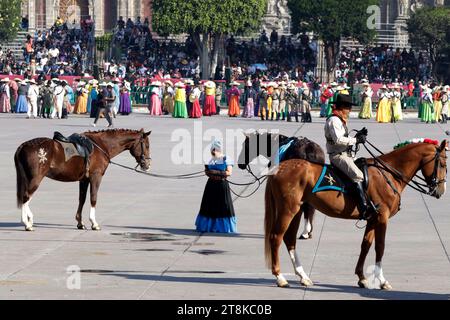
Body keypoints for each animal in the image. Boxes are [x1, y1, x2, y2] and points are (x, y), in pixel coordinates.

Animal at [14, 129, 151, 231]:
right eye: (147, 145)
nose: (147, 165)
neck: (101, 146)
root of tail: (23, 146)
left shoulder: (84, 180)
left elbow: (82, 199)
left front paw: (80, 223)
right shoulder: (96, 177)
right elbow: (93, 198)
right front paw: (94, 223)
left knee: (25, 197)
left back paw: (29, 219)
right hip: (36, 178)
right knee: (26, 196)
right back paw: (27, 223)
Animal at [264, 139, 446, 288]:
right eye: (443, 164)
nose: (441, 191)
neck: (387, 174)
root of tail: (280, 167)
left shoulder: (373, 219)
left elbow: (366, 245)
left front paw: (362, 277)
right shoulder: (382, 218)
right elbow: (380, 247)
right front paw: (382, 280)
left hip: (296, 210)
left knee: (289, 239)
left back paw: (303, 276)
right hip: (288, 210)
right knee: (276, 237)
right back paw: (280, 277)